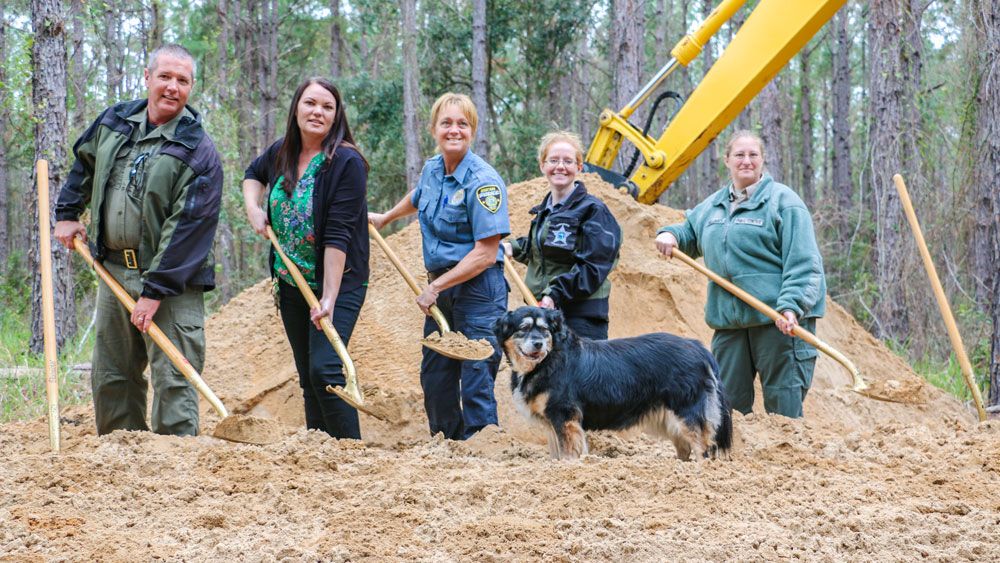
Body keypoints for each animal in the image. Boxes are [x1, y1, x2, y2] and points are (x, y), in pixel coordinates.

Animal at [494, 308, 736, 462]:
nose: (538, 344)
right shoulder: (552, 422)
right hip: (672, 419)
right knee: (685, 447)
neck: (549, 359)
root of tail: (698, 348)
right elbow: (556, 453)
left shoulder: (565, 416)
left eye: (544, 330)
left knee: (704, 448)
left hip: (688, 411)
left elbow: (569, 452)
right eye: (523, 328)